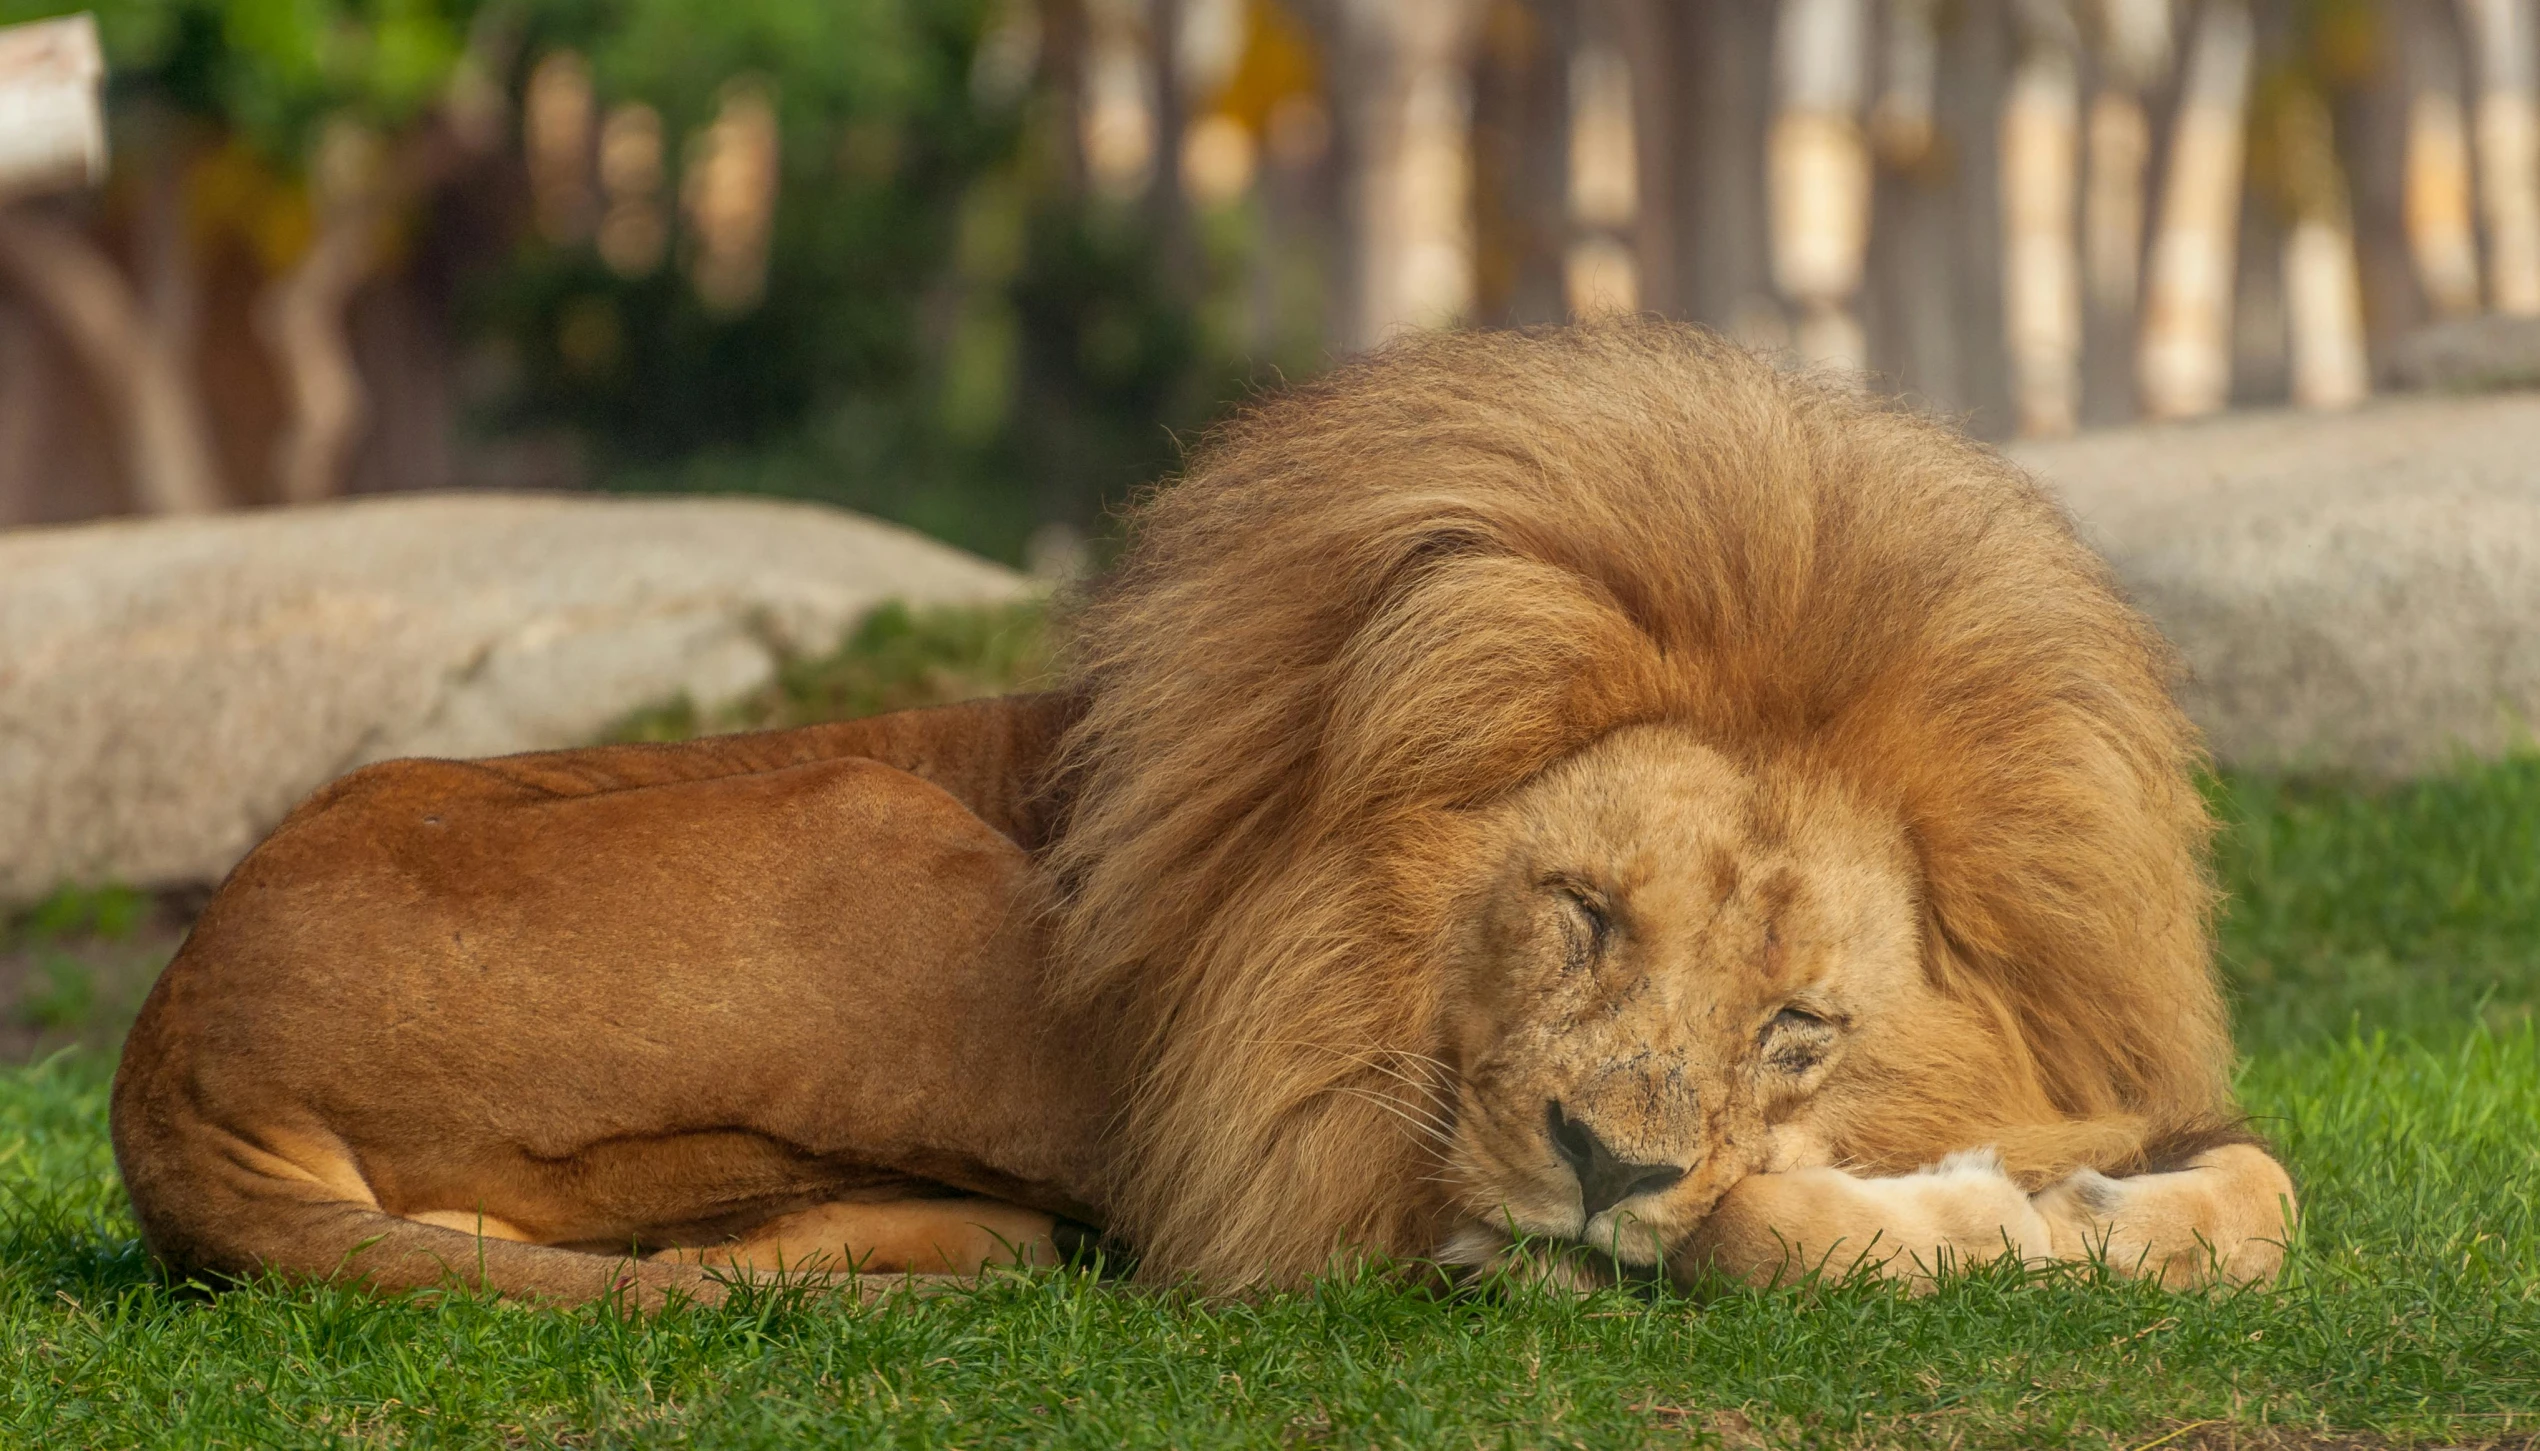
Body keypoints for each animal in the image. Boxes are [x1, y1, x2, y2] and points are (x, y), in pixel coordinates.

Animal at [114, 325, 2306, 1301]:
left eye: (1798, 1019)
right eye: (1581, 909)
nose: (1606, 1158)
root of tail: (160, 1056)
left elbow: (2257, 1178)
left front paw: (2106, 1196)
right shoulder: (1325, 1163)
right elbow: (1749, 1224)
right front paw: (1964, 1213)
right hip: (910, 862)